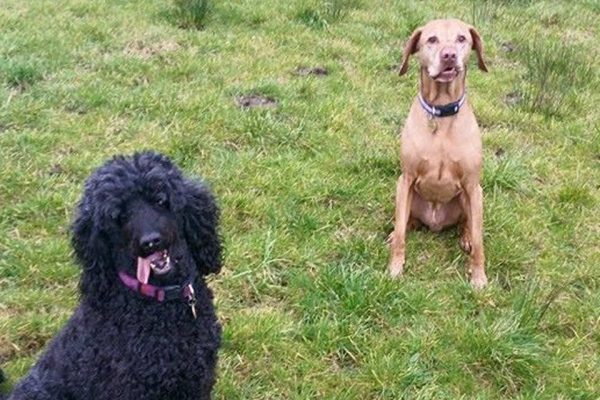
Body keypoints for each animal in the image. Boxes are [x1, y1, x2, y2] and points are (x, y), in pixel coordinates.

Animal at [390, 19, 488, 288]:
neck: (442, 112)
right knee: (404, 222)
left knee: (469, 224)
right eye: (432, 39)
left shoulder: (473, 185)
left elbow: (480, 241)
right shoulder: (406, 179)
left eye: (462, 38)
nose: (449, 56)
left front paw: (478, 277)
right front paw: (394, 268)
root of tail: (436, 223)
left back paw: (466, 237)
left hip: (469, 198)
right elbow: (401, 233)